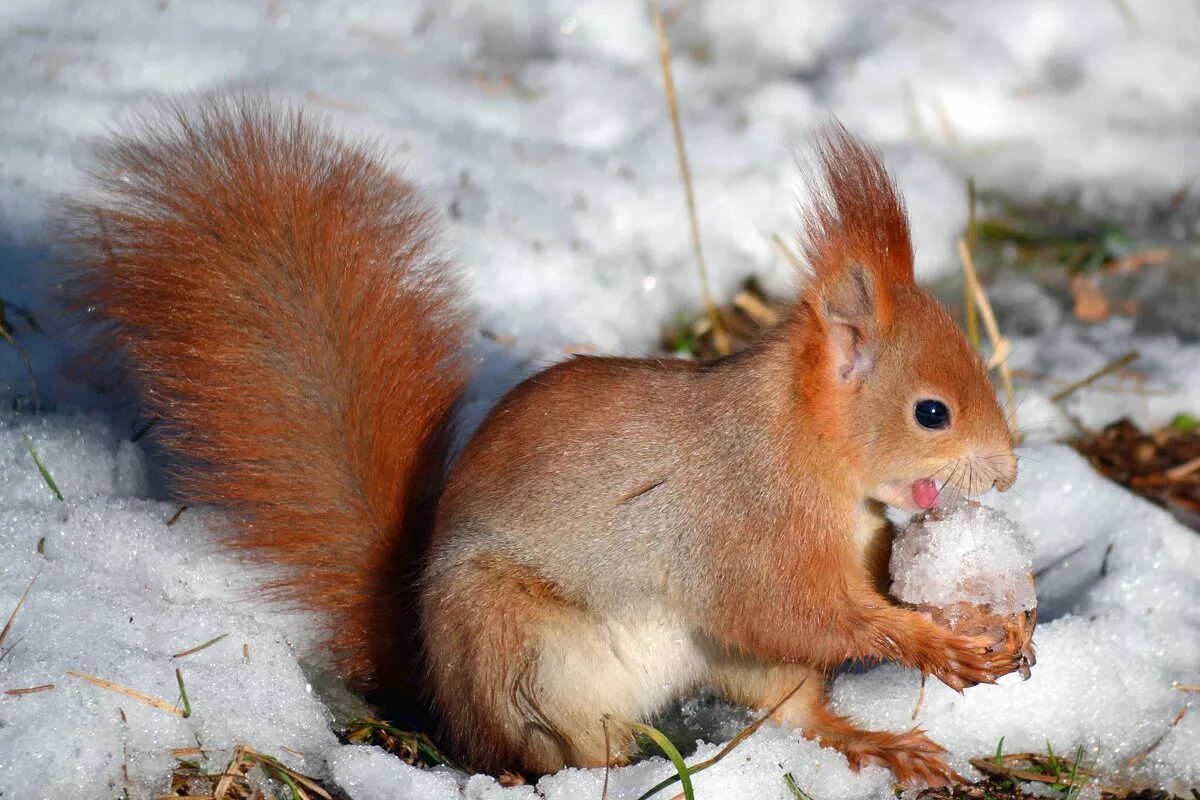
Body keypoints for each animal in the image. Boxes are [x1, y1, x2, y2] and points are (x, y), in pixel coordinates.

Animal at [65, 97, 1017, 786]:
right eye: (932, 413)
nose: (1009, 473)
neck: (811, 448)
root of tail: (431, 674)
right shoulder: (747, 522)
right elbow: (793, 610)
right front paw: (930, 641)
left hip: (728, 667)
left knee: (794, 715)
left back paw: (875, 745)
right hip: (524, 653)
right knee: (546, 754)